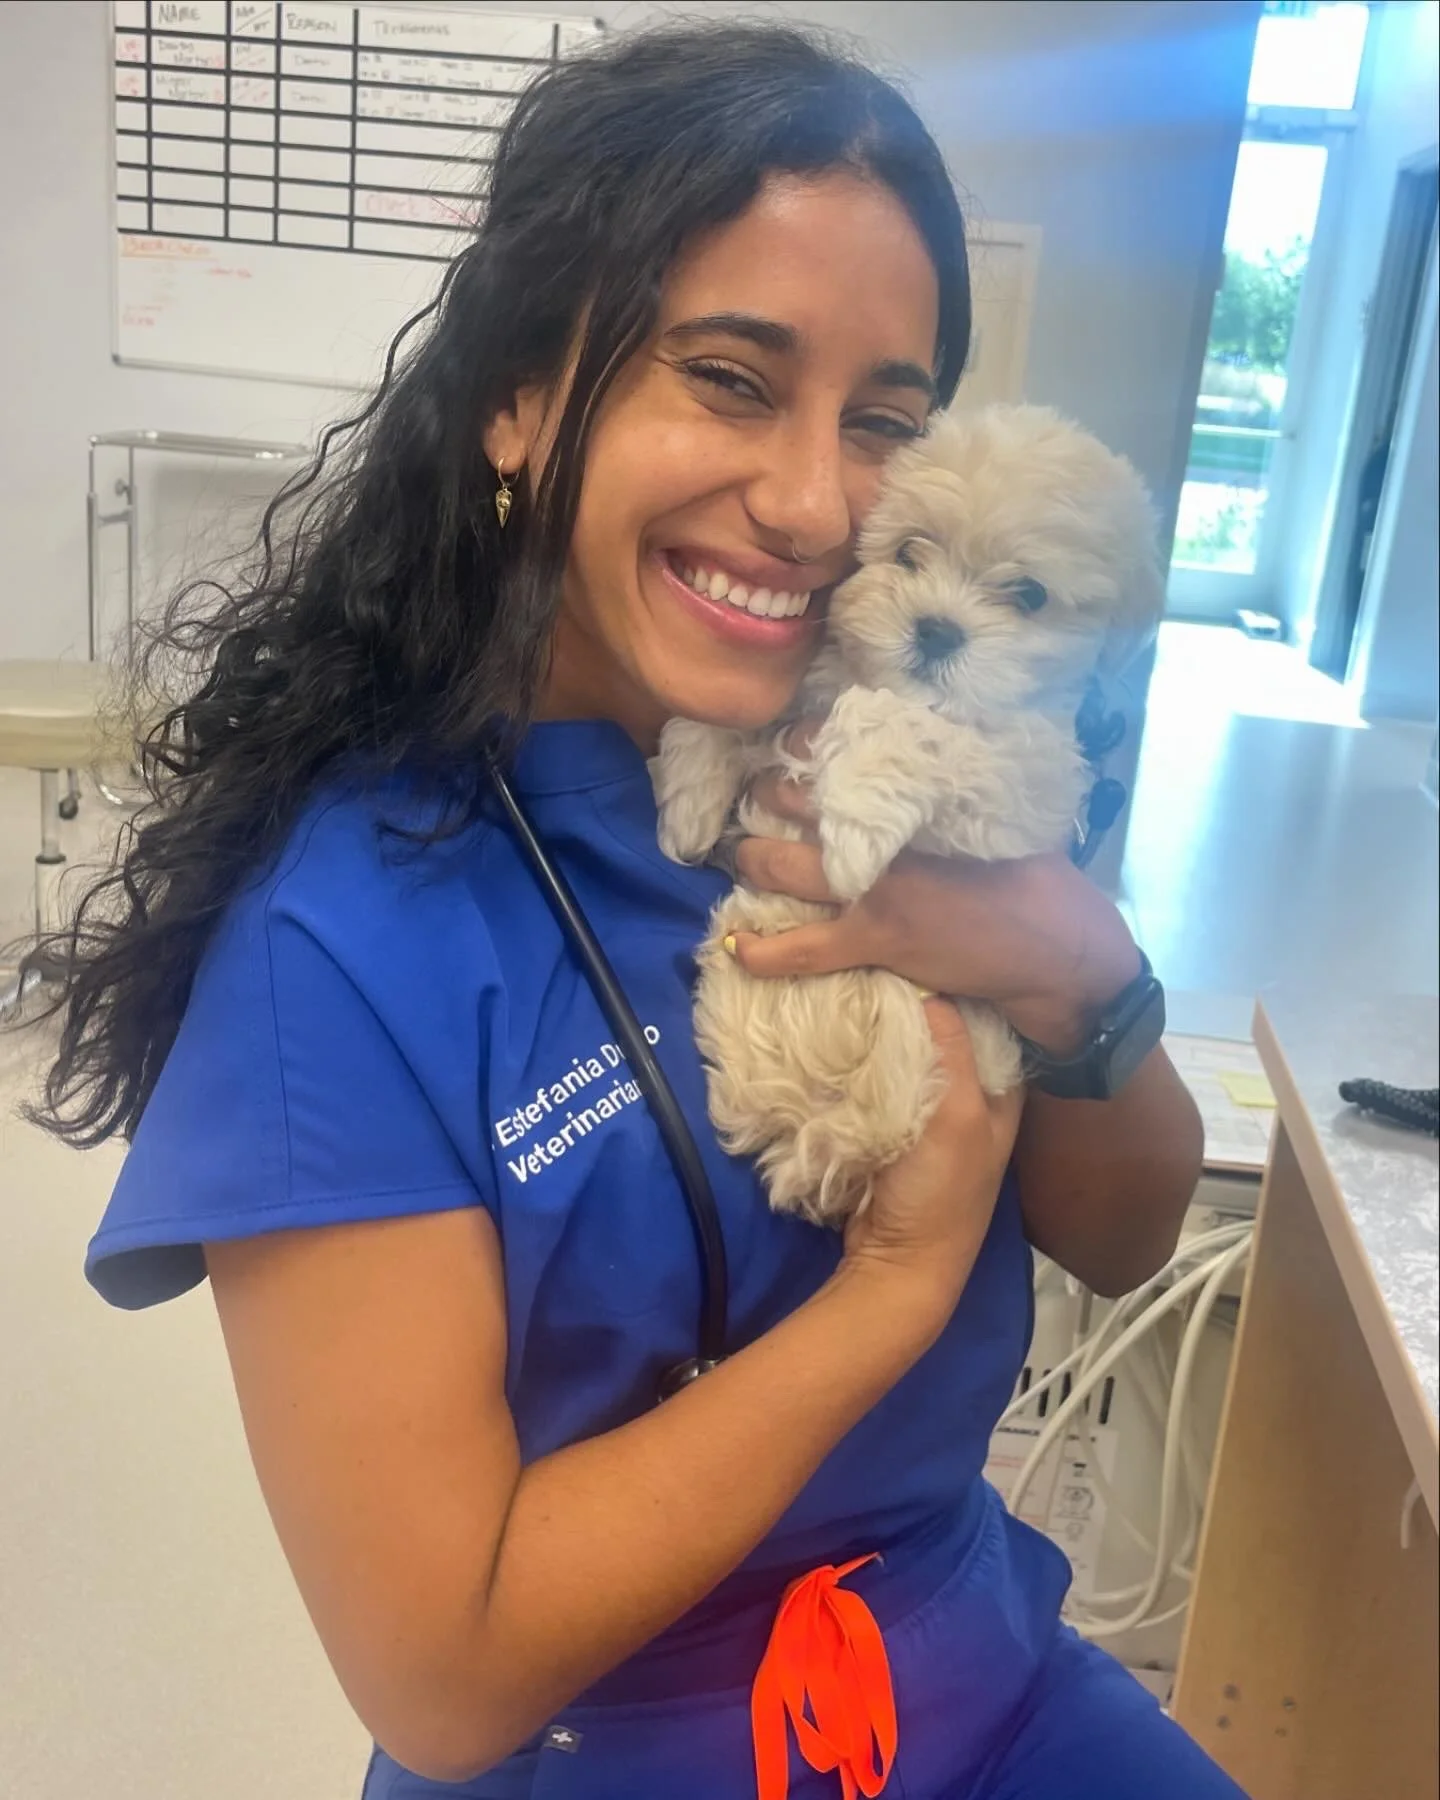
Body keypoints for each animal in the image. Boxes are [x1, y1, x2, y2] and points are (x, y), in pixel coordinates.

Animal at [652, 404, 1165, 1225]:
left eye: (1029, 595)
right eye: (909, 551)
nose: (936, 628)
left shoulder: (1025, 781)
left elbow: (903, 724)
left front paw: (854, 832)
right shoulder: (801, 693)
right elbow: (738, 715)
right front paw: (689, 800)